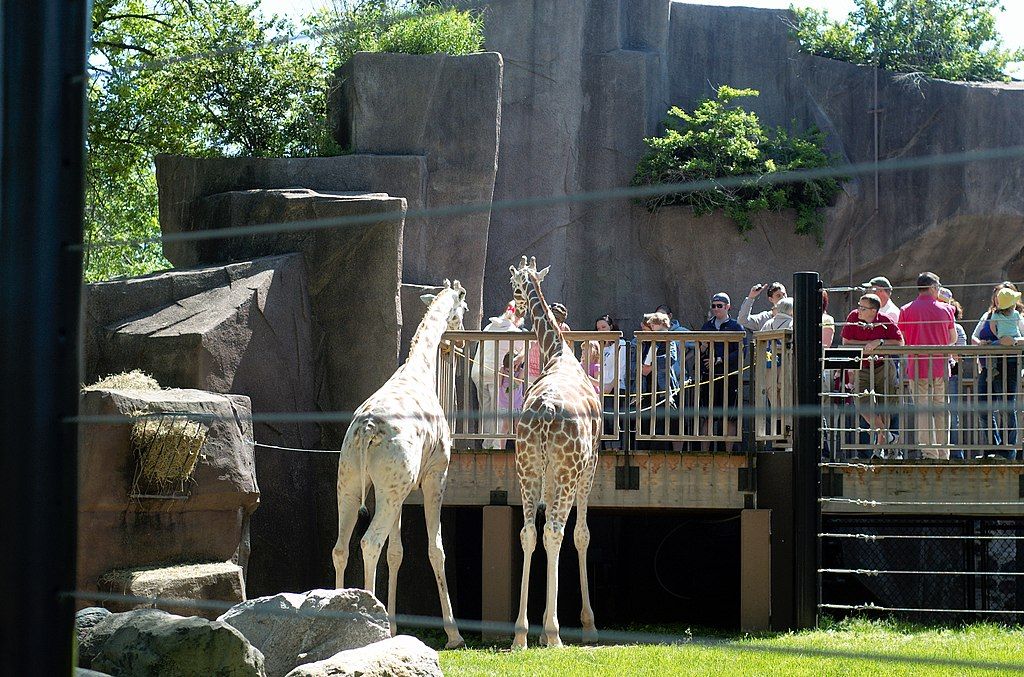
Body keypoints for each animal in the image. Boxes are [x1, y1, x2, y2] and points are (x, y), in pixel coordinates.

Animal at [332, 279, 467, 649]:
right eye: (463, 308)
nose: (463, 337)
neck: (419, 371)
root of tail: (367, 429)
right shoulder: (436, 475)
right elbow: (436, 549)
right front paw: (454, 634)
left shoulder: (400, 490)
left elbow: (397, 553)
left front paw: (393, 627)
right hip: (386, 490)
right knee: (369, 542)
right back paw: (368, 625)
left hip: (352, 485)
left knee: (341, 547)